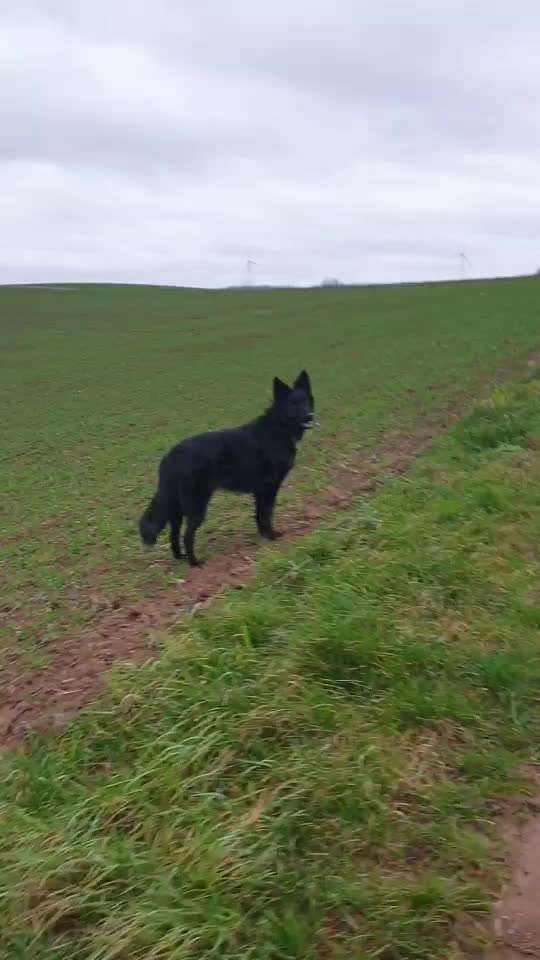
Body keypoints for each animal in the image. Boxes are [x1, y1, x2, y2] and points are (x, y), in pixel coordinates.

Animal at [139, 366, 314, 564]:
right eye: (293, 404)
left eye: (306, 401)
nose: (309, 416)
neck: (278, 428)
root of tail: (171, 456)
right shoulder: (269, 488)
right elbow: (267, 514)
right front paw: (271, 535)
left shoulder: (260, 491)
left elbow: (259, 515)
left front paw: (263, 535)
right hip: (197, 505)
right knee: (187, 535)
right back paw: (194, 562)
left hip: (178, 508)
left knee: (174, 533)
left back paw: (180, 556)